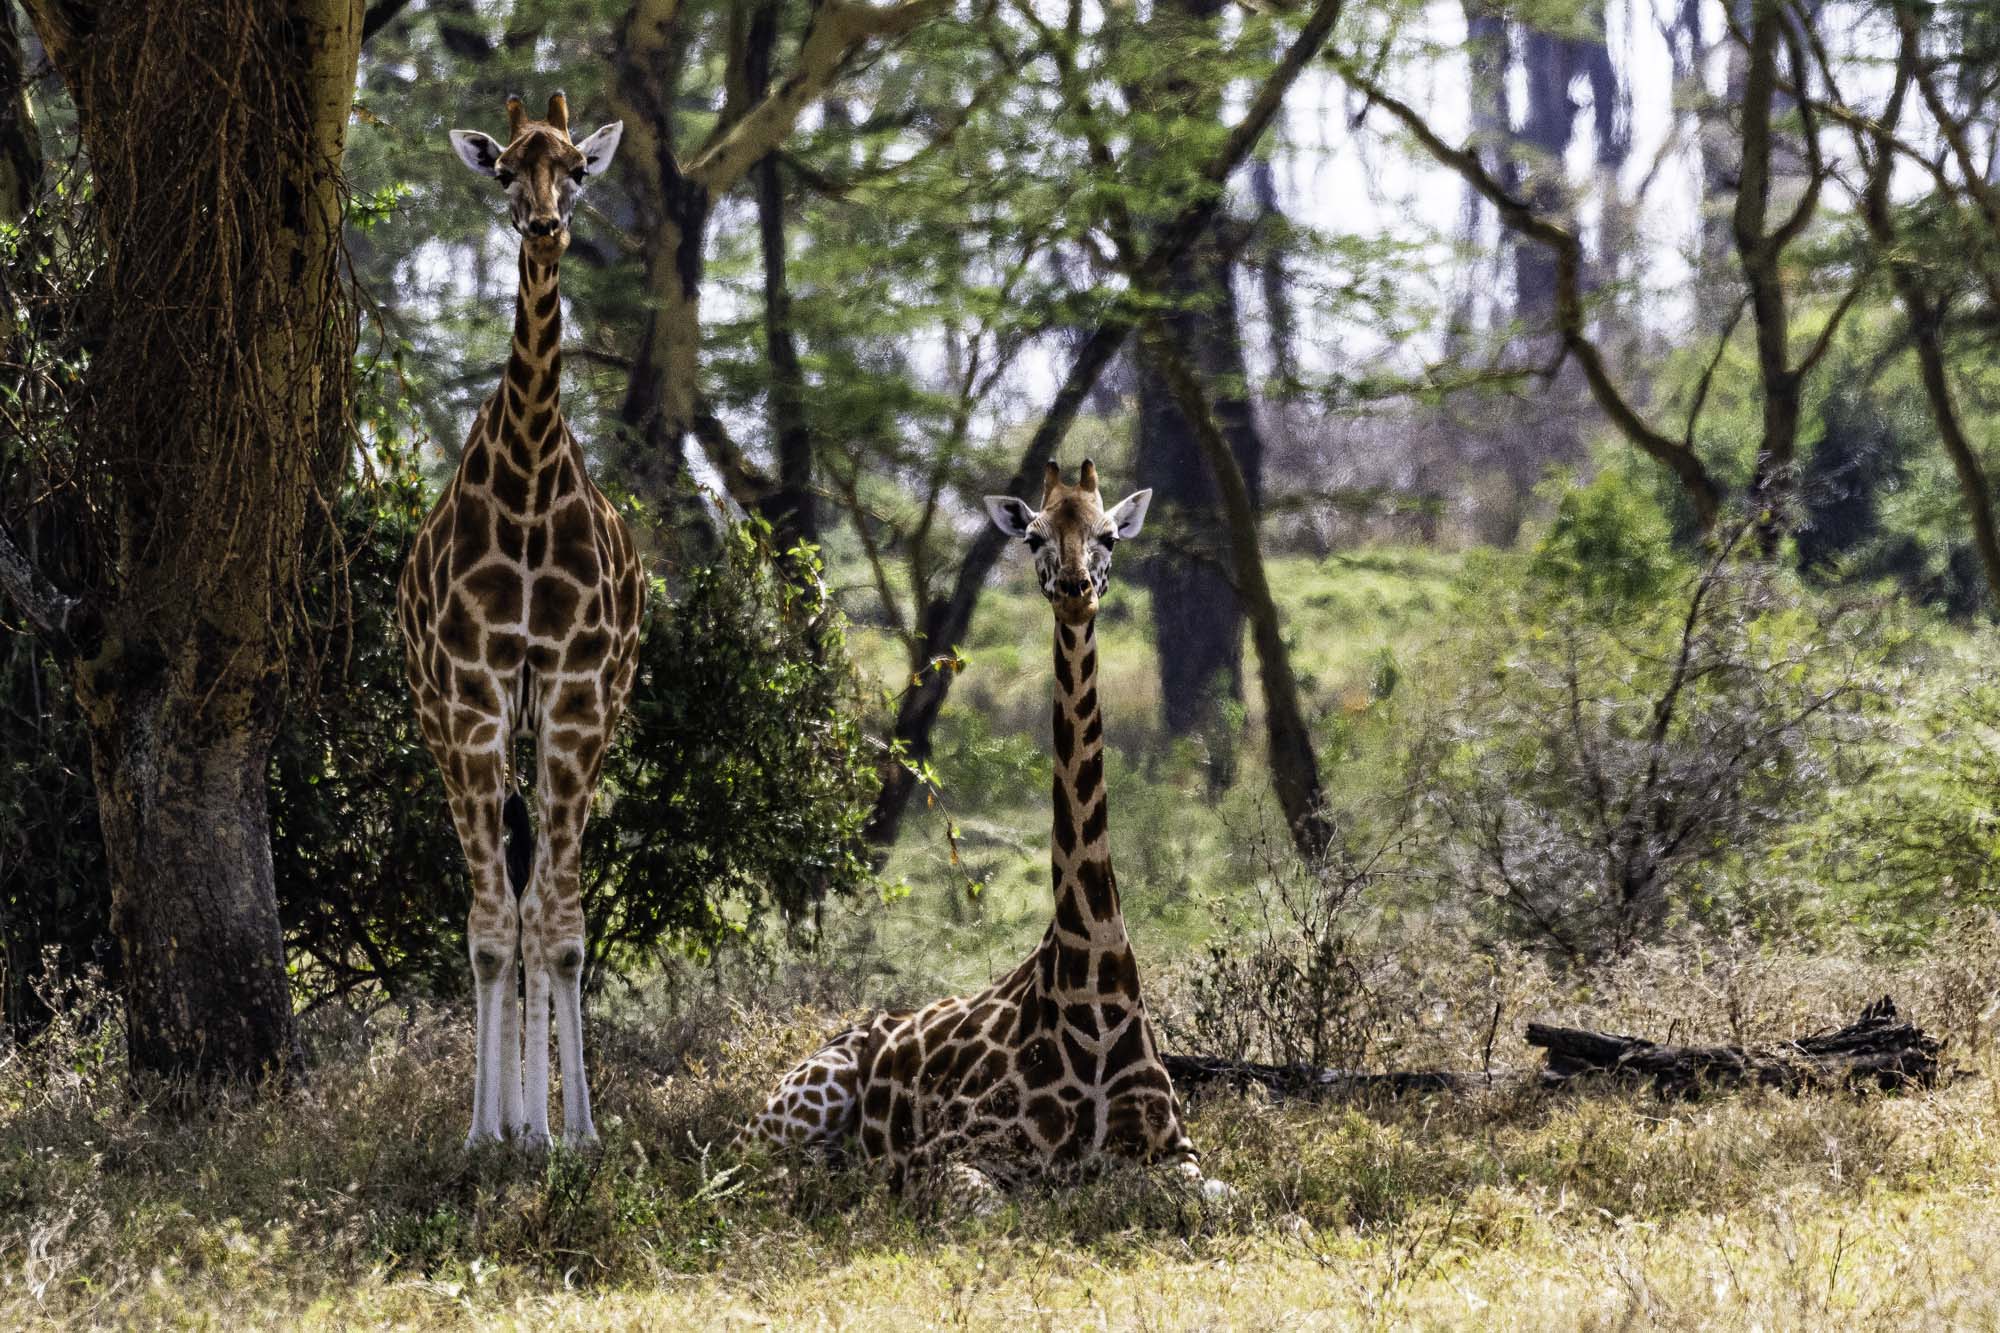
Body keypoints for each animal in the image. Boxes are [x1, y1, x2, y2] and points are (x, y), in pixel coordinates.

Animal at [741, 460, 1220, 1198]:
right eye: (1033, 536)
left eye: (1109, 535)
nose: (1075, 591)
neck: (1095, 990)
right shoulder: (944, 1155)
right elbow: (987, 1199)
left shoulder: (1178, 1149)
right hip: (784, 1119)